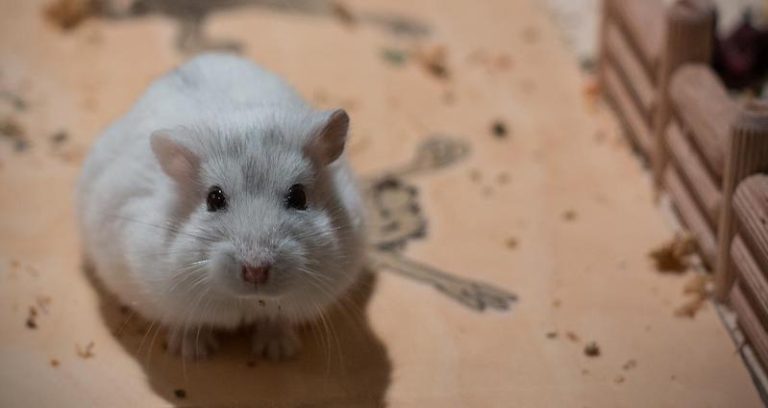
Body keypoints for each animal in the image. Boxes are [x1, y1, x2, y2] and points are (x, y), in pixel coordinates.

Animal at [76, 53, 366, 360]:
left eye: (299, 197)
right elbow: (187, 323)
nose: (255, 271)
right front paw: (193, 353)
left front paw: (276, 352)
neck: (249, 300)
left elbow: (275, 320)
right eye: (214, 198)